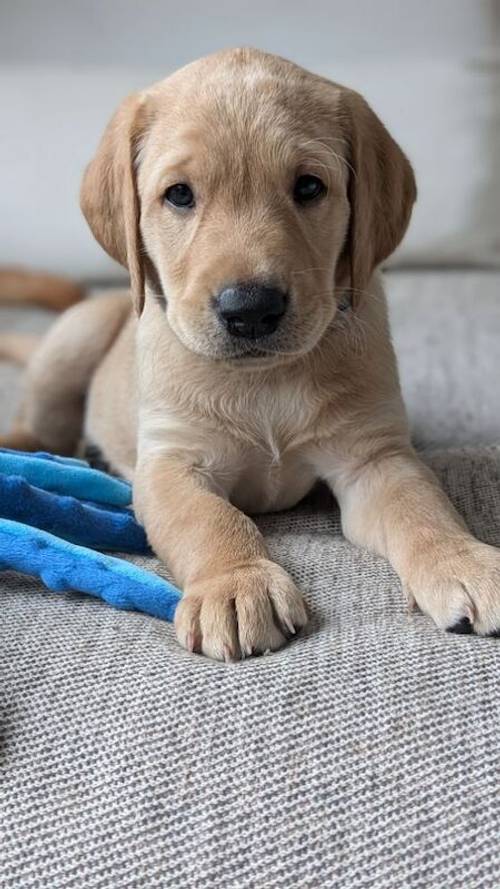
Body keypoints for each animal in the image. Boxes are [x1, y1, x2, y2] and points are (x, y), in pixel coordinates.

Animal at [3, 50, 500, 660]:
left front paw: (464, 562)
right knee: (44, 425)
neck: (264, 381)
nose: (251, 309)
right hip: (78, 336)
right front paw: (236, 584)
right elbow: (208, 519)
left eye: (309, 186)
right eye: (179, 195)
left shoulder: (374, 457)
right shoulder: (172, 462)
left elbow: (423, 506)